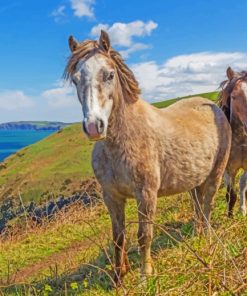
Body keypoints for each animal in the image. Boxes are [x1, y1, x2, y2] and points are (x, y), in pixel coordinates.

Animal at [64, 30, 232, 284]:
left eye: (109, 74)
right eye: (75, 79)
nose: (94, 126)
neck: (120, 143)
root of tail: (213, 107)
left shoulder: (146, 194)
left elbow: (144, 234)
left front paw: (145, 275)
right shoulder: (111, 197)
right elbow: (118, 237)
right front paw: (118, 277)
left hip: (216, 174)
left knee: (208, 205)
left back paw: (209, 238)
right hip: (194, 181)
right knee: (197, 205)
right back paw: (198, 235)